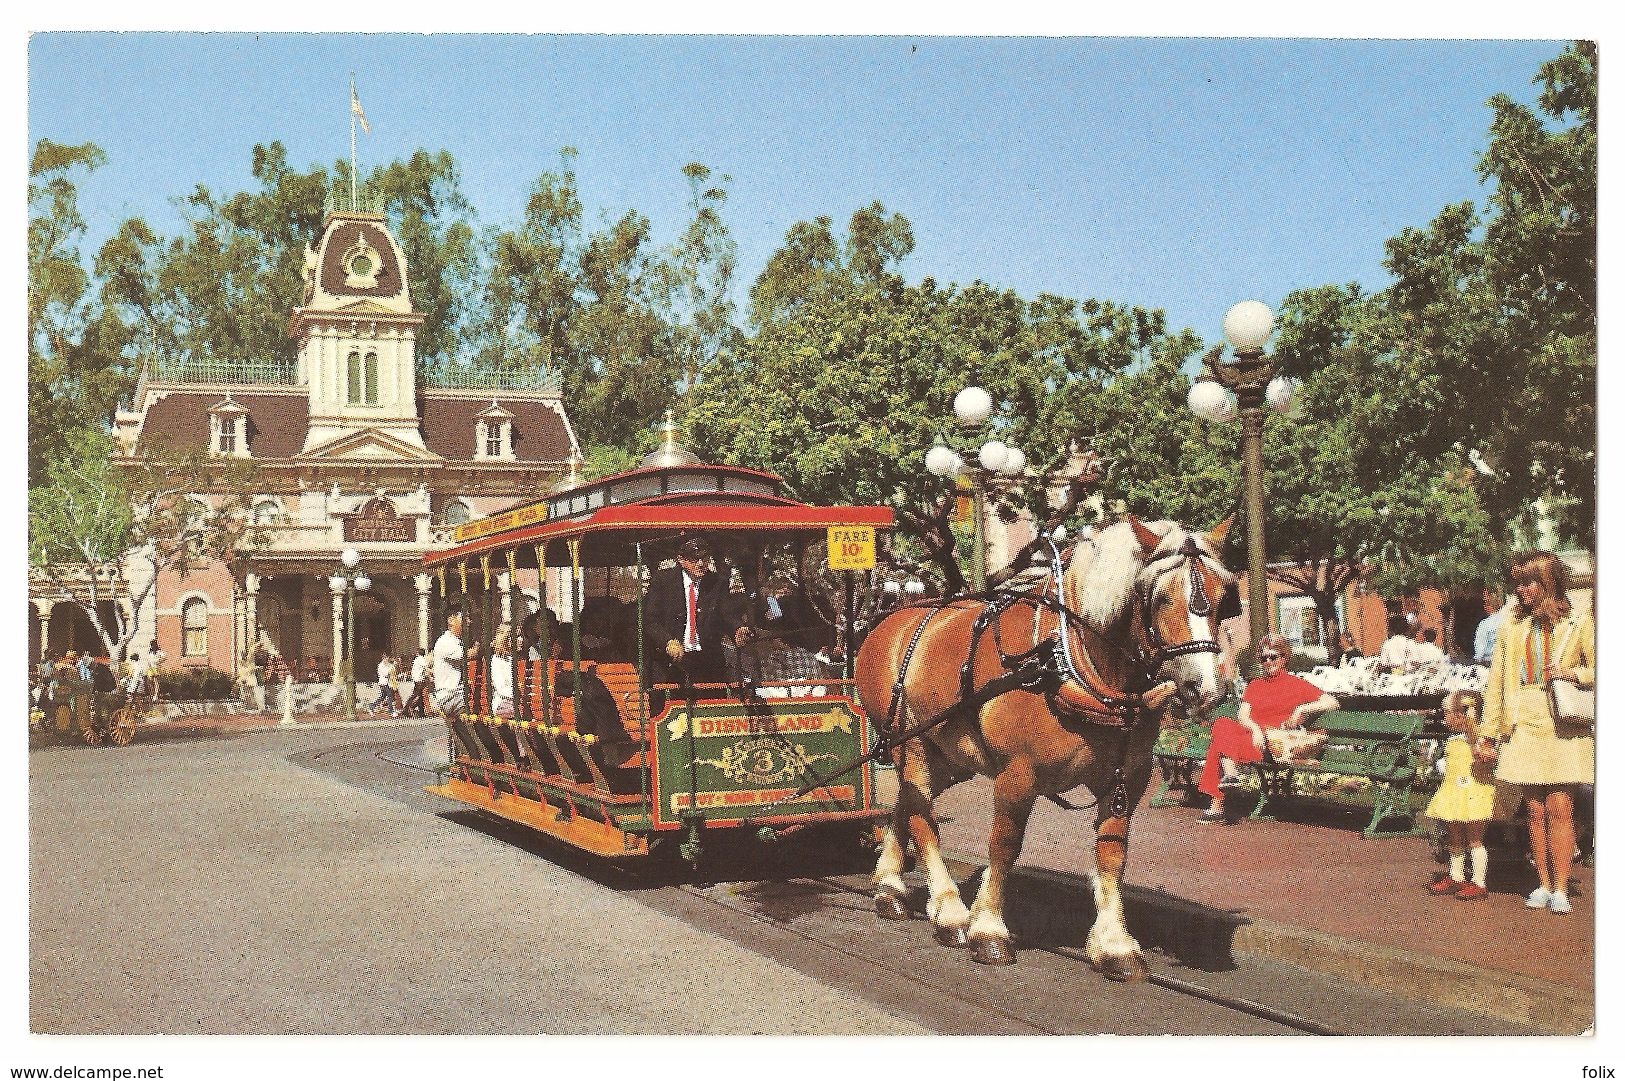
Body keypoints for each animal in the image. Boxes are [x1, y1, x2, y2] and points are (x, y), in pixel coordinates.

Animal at [851, 510, 1228, 975]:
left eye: (1224, 596)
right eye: (1159, 598)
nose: (1205, 689)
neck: (1069, 660)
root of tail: (885, 625)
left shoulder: (1129, 778)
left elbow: (1112, 854)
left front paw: (1114, 945)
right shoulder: (1017, 772)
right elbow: (1004, 844)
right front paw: (988, 929)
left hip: (949, 759)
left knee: (906, 803)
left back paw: (890, 887)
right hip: (913, 742)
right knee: (922, 816)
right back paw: (951, 912)